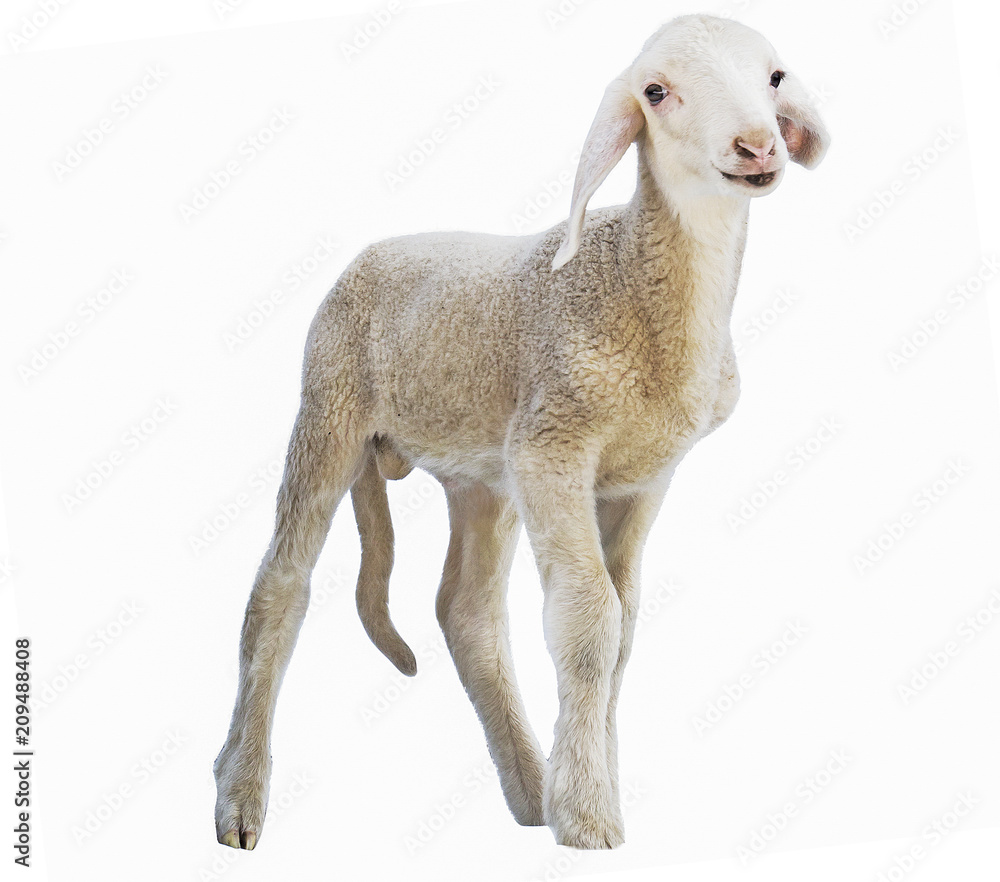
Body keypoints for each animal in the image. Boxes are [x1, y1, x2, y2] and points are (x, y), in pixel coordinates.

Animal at [214, 13, 829, 852]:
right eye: (655, 92)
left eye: (773, 78)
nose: (758, 147)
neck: (637, 288)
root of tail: (370, 252)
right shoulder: (554, 446)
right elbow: (589, 619)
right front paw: (590, 819)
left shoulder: (643, 476)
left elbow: (624, 627)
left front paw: (585, 789)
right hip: (330, 404)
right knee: (280, 584)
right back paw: (240, 795)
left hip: (482, 476)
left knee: (466, 612)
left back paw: (530, 788)